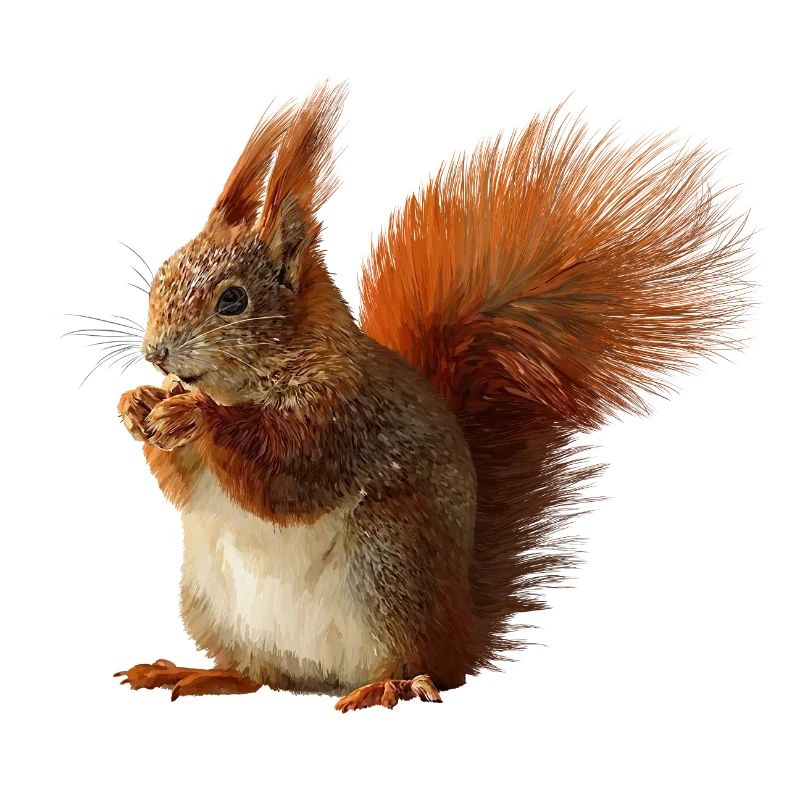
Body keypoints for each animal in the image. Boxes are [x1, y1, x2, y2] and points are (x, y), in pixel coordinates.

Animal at [110, 84, 749, 711]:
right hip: (212, 600)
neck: (247, 384)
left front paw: (195, 414)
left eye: (233, 300)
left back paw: (388, 686)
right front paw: (137, 404)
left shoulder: (343, 417)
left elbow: (283, 473)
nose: (155, 353)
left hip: (389, 561)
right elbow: (183, 486)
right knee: (258, 674)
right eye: (162, 272)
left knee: (427, 668)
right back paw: (198, 673)